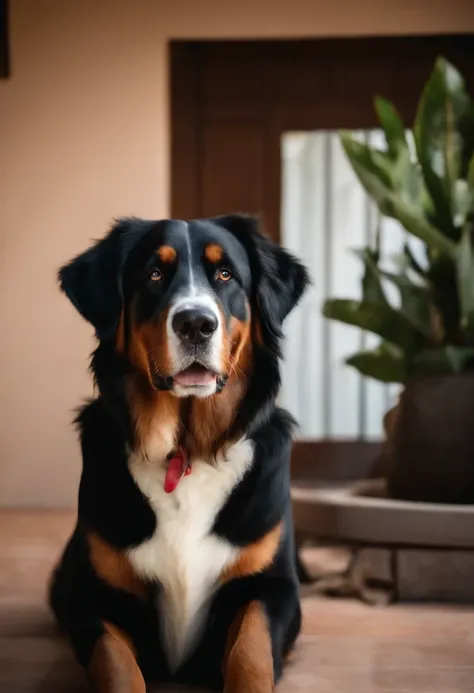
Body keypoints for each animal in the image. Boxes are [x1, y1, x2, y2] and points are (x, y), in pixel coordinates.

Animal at [50, 214, 312, 688]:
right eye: (154, 274)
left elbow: (251, 650)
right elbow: (116, 664)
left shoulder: (274, 590)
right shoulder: (91, 598)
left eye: (225, 274)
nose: (196, 323)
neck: (187, 448)